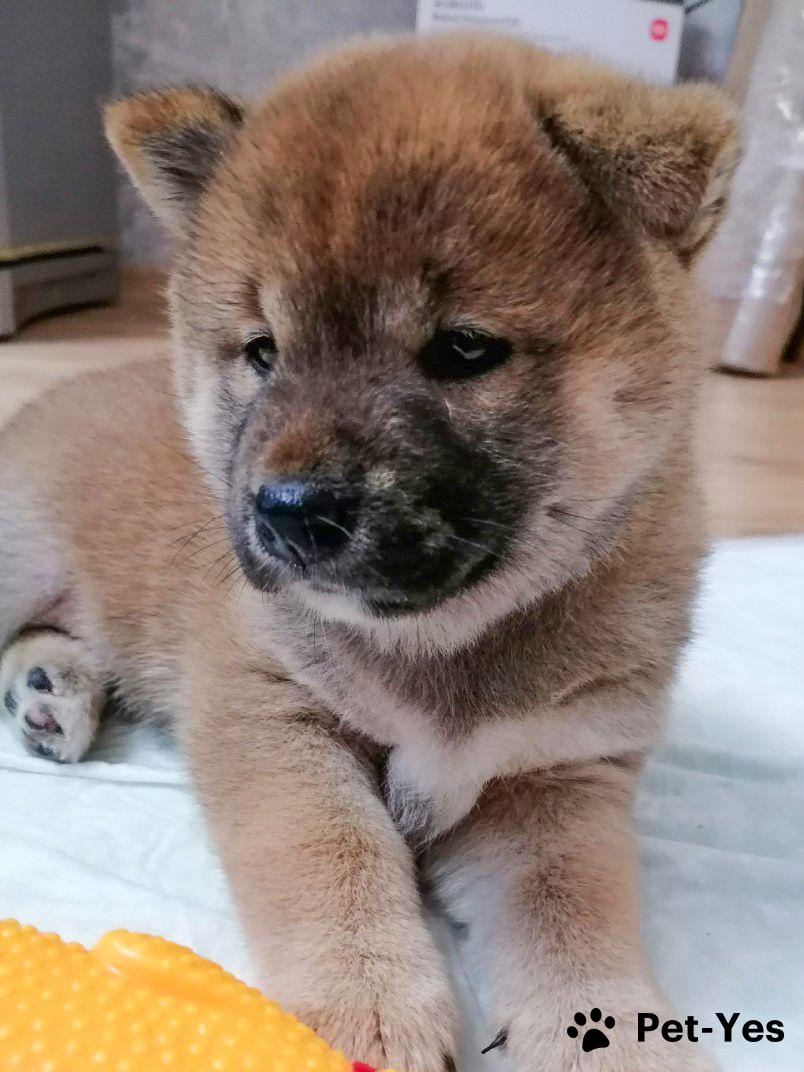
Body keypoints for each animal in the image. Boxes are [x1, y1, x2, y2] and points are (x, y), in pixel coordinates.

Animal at [0, 34, 737, 1072]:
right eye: (263, 351)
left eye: (464, 348)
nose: (289, 510)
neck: (449, 648)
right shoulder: (272, 713)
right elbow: (334, 858)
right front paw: (366, 1011)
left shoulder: (553, 778)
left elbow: (573, 916)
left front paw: (609, 1033)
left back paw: (50, 694)